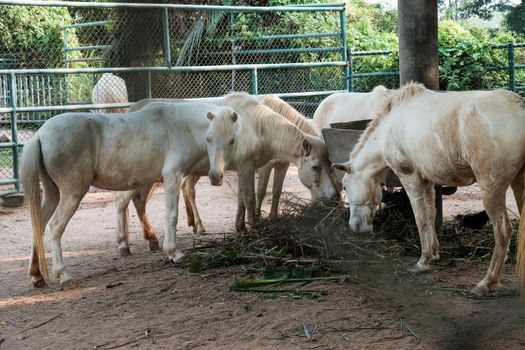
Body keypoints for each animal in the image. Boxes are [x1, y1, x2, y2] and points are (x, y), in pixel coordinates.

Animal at [21, 100, 235, 288]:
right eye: (209, 138)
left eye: (232, 140)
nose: (215, 177)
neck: (180, 125)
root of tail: (40, 135)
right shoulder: (173, 178)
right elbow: (172, 216)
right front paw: (174, 253)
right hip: (72, 194)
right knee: (55, 226)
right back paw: (64, 276)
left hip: (52, 193)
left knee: (38, 226)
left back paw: (37, 275)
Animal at [332, 83, 524, 294]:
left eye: (345, 185)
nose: (354, 227)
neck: (390, 126)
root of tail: (518, 107)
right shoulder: (428, 181)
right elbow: (431, 215)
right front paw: (434, 253)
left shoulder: (410, 178)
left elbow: (421, 218)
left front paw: (422, 262)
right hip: (518, 185)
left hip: (491, 188)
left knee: (503, 230)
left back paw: (487, 282)